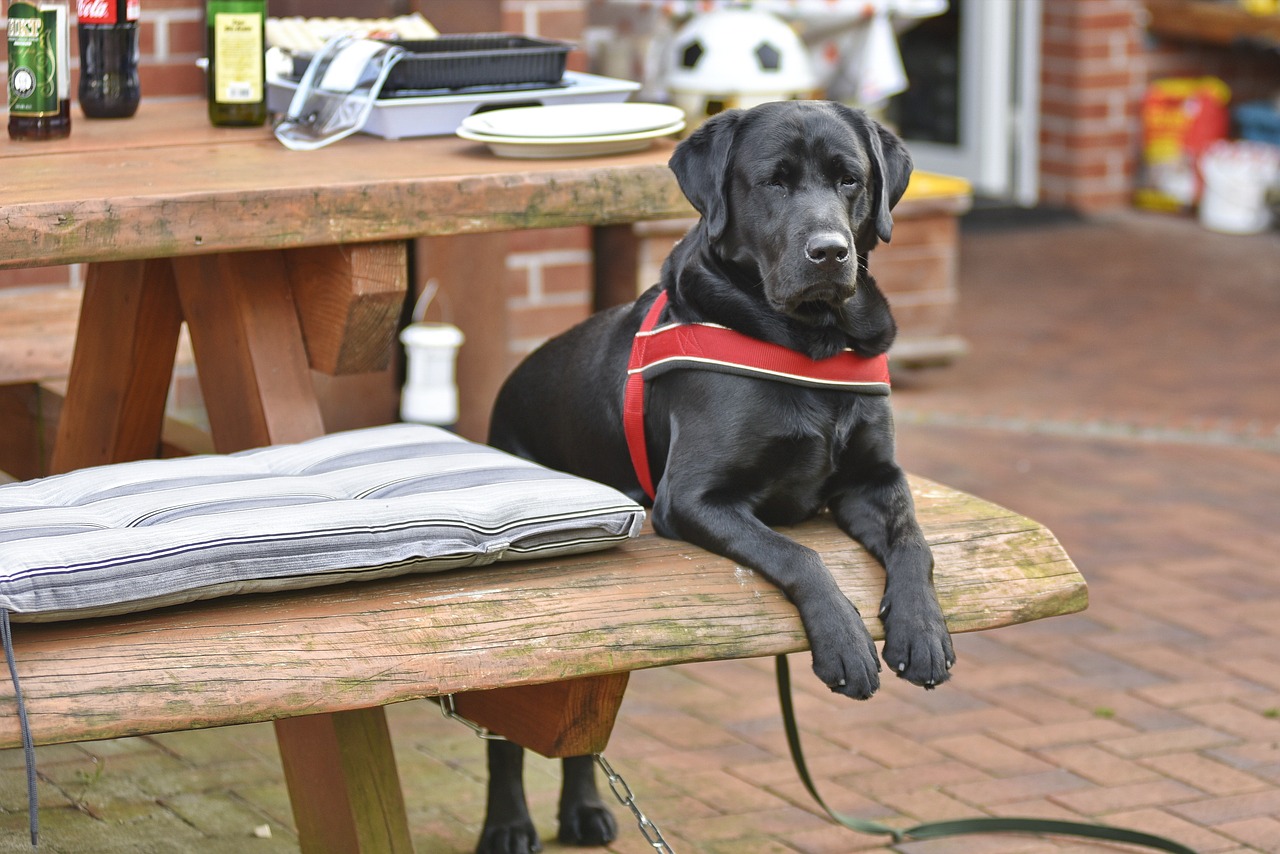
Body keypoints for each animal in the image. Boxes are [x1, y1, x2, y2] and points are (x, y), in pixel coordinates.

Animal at [478, 101, 952, 854]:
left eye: (850, 179)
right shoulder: (695, 498)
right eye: (774, 181)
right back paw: (508, 825)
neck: (810, 344)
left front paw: (922, 630)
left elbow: (913, 542)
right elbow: (799, 554)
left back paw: (583, 811)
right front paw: (845, 644)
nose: (830, 251)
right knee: (506, 737)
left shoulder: (875, 479)